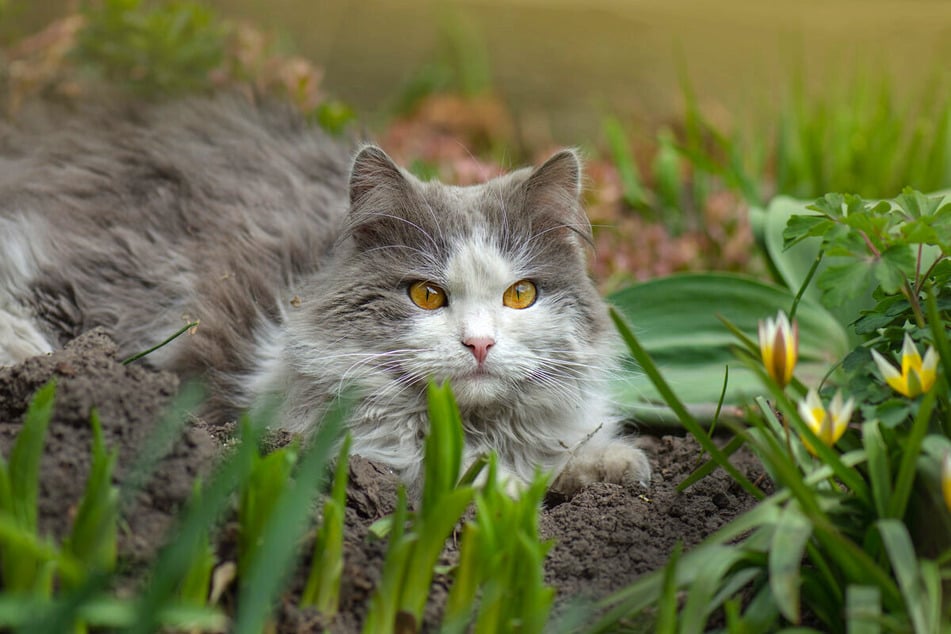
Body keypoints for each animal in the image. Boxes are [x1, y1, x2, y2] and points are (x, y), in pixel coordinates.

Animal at [0, 97, 652, 494]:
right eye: (425, 294)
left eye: (520, 295)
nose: (480, 345)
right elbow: (449, 472)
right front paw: (510, 491)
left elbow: (563, 451)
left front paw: (611, 465)